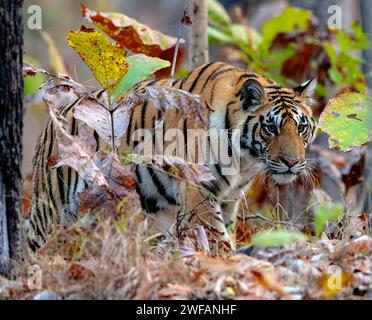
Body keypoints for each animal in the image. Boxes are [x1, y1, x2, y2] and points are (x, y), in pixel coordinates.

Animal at [26, 61, 316, 254]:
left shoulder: (230, 197)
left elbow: (226, 227)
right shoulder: (198, 189)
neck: (245, 158)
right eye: (271, 128)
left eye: (301, 128)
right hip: (52, 207)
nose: (292, 162)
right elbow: (215, 232)